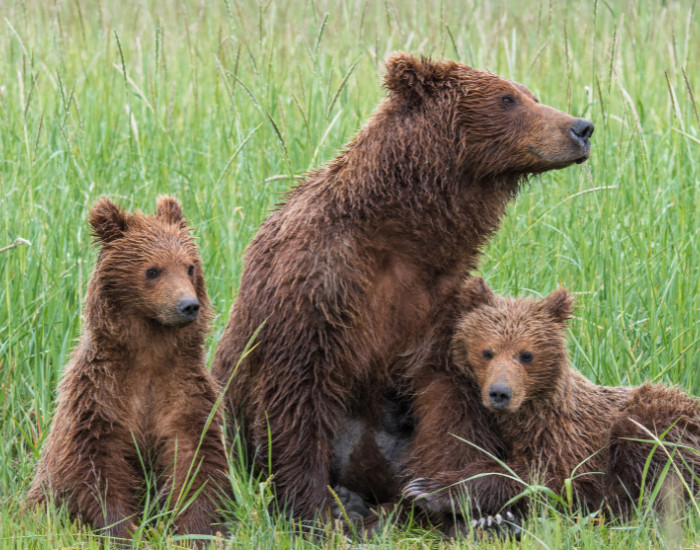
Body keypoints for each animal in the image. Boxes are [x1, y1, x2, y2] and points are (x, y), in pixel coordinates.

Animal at [28, 197, 229, 546]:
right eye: (152, 270)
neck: (149, 355)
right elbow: (96, 468)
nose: (188, 306)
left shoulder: (183, 390)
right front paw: (122, 530)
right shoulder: (100, 396)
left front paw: (195, 530)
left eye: (190, 266)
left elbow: (196, 458)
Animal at [211, 52, 594, 521]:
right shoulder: (316, 284)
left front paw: (445, 495)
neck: (401, 234)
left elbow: (448, 400)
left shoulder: (437, 302)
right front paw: (316, 509)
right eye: (508, 99)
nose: (581, 127)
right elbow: (296, 394)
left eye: (531, 95)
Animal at [404, 277, 700, 535]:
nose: (500, 393)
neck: (525, 417)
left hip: (659, 419)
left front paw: (431, 489)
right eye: (487, 352)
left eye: (526, 355)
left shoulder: (569, 438)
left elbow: (547, 476)